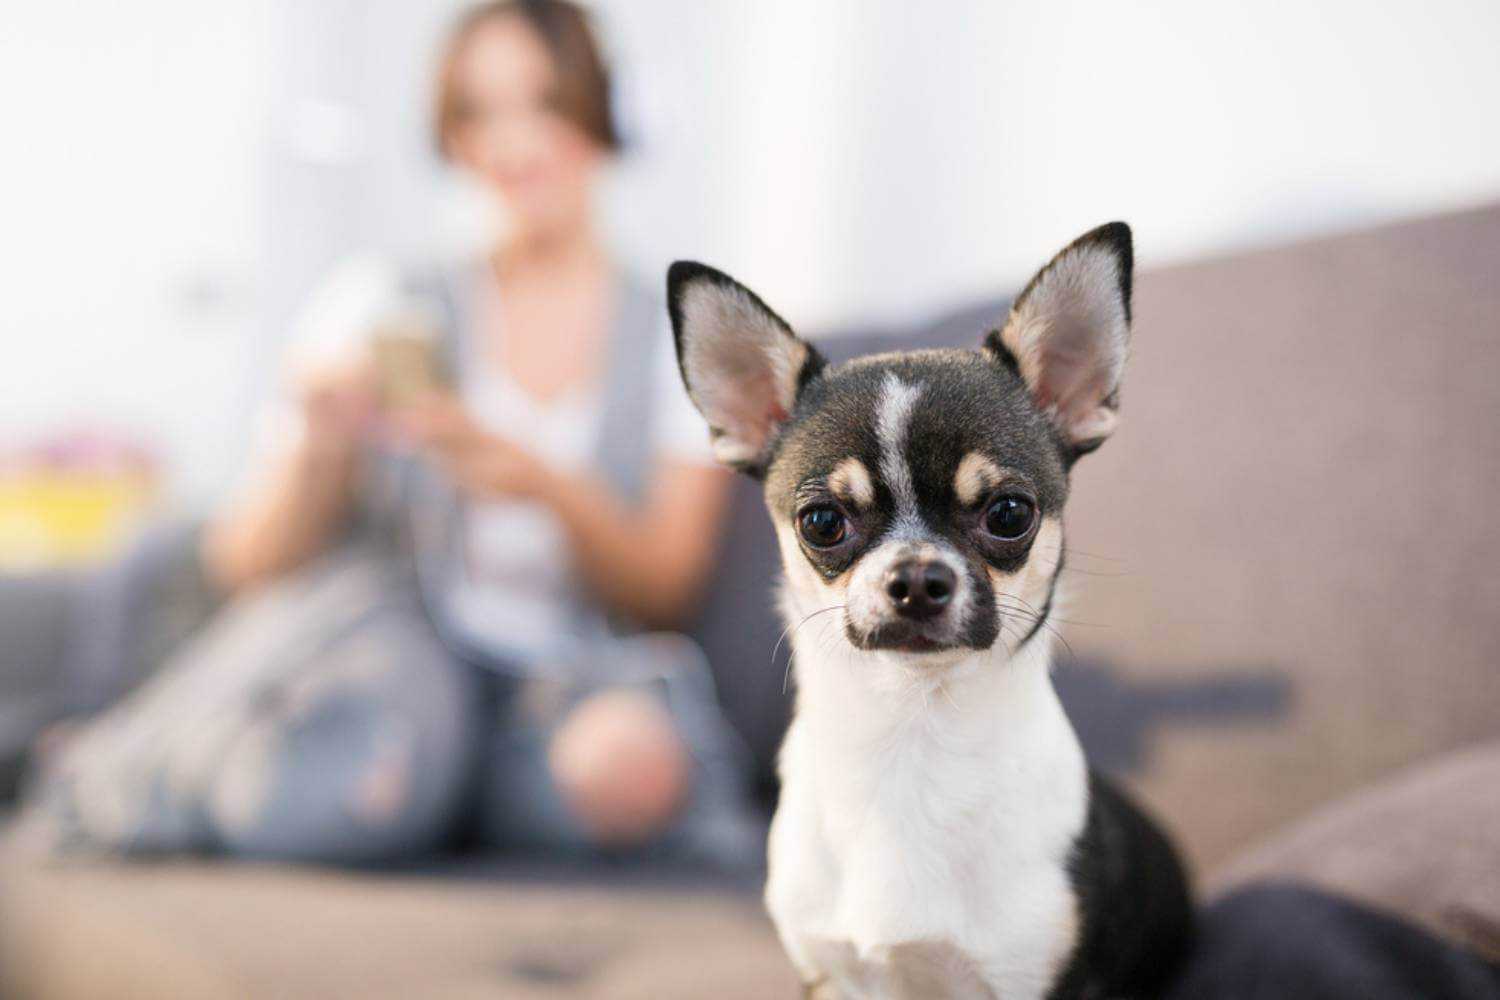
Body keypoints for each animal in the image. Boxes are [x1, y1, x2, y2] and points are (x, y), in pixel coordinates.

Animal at [669, 223, 1194, 995]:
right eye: (821, 522)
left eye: (1010, 513)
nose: (917, 577)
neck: (911, 735)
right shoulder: (831, 975)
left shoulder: (1033, 981)